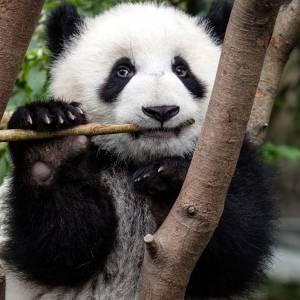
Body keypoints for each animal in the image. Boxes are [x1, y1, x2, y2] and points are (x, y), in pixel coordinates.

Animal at [0, 1, 276, 298]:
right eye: (122, 71)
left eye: (182, 70)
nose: (162, 110)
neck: (137, 159)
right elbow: (60, 248)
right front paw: (50, 142)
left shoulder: (229, 159)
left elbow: (234, 250)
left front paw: (169, 181)